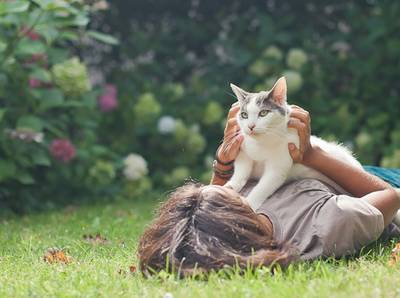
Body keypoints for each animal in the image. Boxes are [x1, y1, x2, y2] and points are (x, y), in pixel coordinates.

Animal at [225, 77, 362, 212]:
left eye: (263, 113)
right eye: (244, 115)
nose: (250, 126)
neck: (262, 141)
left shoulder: (278, 166)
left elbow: (263, 187)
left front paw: (249, 204)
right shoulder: (242, 148)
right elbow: (242, 170)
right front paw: (231, 185)